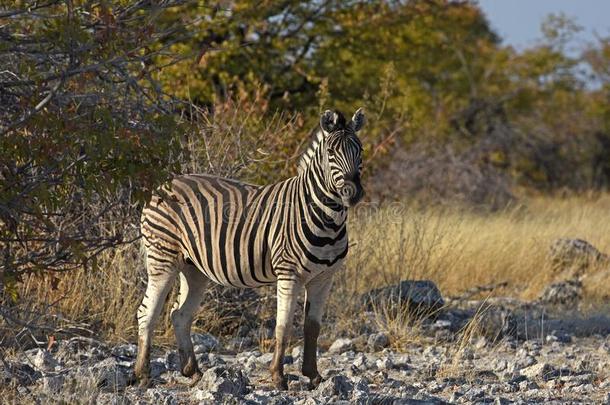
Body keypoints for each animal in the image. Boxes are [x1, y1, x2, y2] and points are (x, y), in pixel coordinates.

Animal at [135, 107, 364, 388]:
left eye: (360, 150)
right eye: (331, 153)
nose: (352, 192)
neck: (326, 219)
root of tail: (160, 186)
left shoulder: (324, 278)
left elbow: (313, 327)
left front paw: (313, 375)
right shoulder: (288, 274)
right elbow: (283, 326)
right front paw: (278, 377)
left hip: (193, 268)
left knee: (179, 315)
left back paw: (193, 371)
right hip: (162, 259)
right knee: (147, 312)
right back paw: (142, 374)